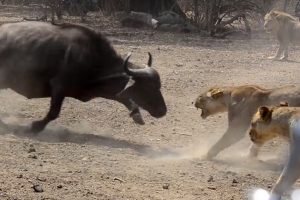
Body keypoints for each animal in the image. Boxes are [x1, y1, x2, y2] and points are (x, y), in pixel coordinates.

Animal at [0, 21, 166, 134]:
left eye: (159, 86)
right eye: (150, 87)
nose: (163, 111)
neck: (94, 59)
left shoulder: (102, 89)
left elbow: (125, 98)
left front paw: (136, 114)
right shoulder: (59, 87)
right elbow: (53, 113)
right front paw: (34, 127)